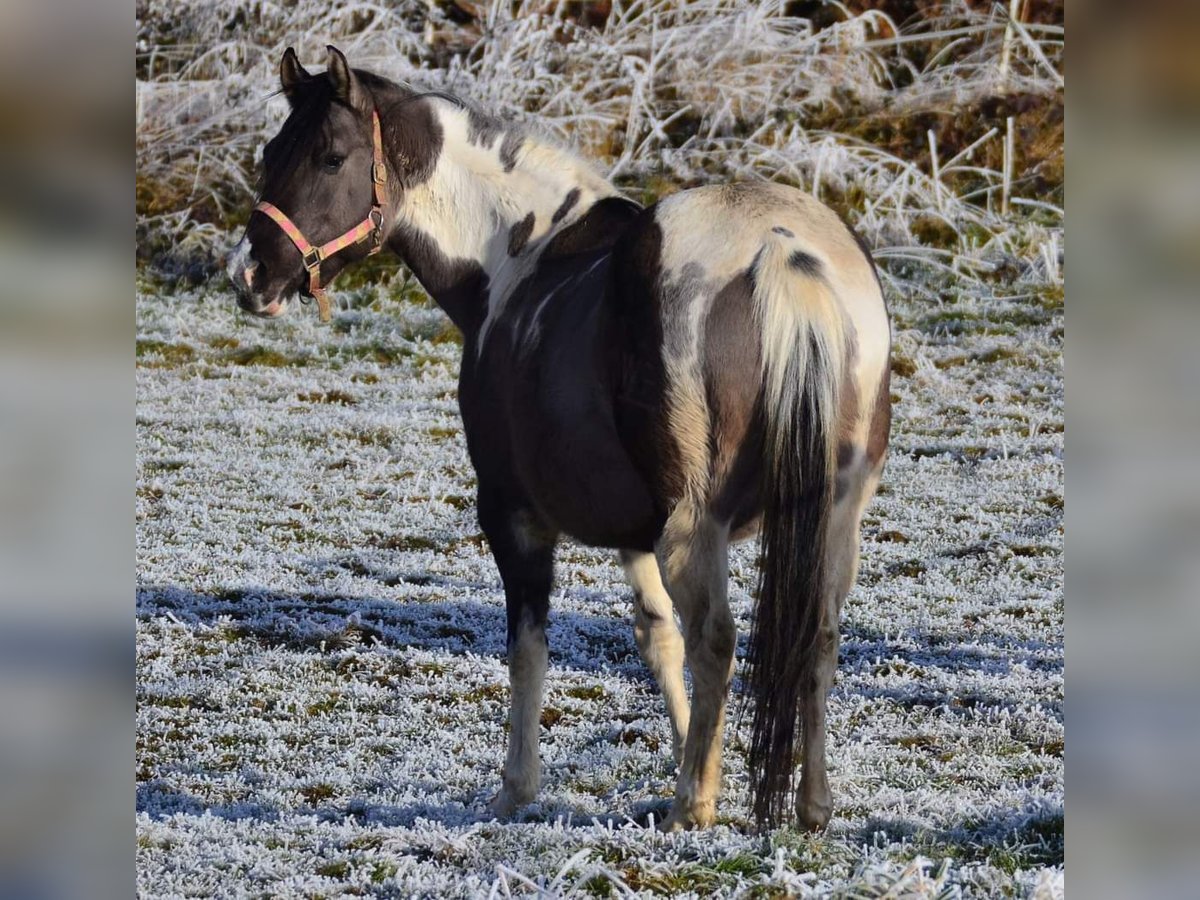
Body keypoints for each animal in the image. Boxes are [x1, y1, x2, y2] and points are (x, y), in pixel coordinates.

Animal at [226, 45, 892, 835]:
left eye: (332, 158)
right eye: (273, 153)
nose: (249, 273)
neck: (520, 258)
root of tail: (778, 249)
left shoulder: (515, 518)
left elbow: (528, 650)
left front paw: (516, 789)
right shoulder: (634, 529)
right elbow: (656, 637)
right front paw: (687, 755)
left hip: (695, 528)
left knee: (719, 639)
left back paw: (690, 808)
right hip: (831, 519)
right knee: (815, 635)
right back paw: (809, 806)